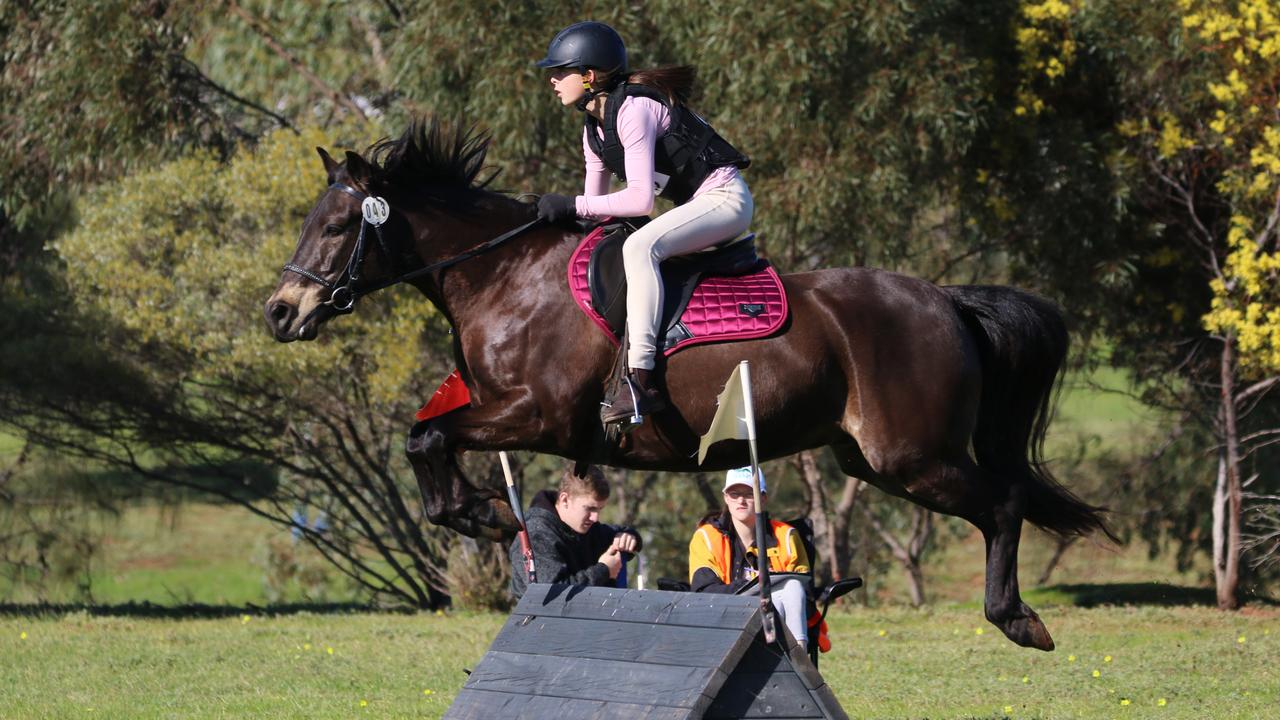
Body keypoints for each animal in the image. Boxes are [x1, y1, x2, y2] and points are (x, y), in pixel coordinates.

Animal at [262, 119, 1111, 650]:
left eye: (336, 228)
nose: (279, 312)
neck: (505, 276)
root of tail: (946, 299)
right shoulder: (503, 412)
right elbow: (423, 437)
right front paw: (480, 516)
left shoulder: (535, 415)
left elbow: (430, 434)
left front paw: (486, 517)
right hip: (870, 458)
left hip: (912, 457)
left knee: (1003, 503)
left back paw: (1018, 619)